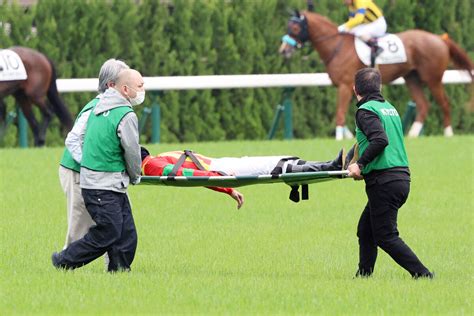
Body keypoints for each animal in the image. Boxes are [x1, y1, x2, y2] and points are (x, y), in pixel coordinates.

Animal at [280, 6, 472, 138]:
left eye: (295, 28)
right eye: (288, 26)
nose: (283, 50)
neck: (337, 47)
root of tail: (440, 38)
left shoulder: (344, 85)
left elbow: (339, 114)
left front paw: (339, 138)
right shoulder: (348, 87)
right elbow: (343, 115)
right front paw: (348, 136)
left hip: (433, 78)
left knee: (444, 103)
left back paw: (448, 134)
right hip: (412, 78)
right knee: (424, 105)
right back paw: (411, 135)